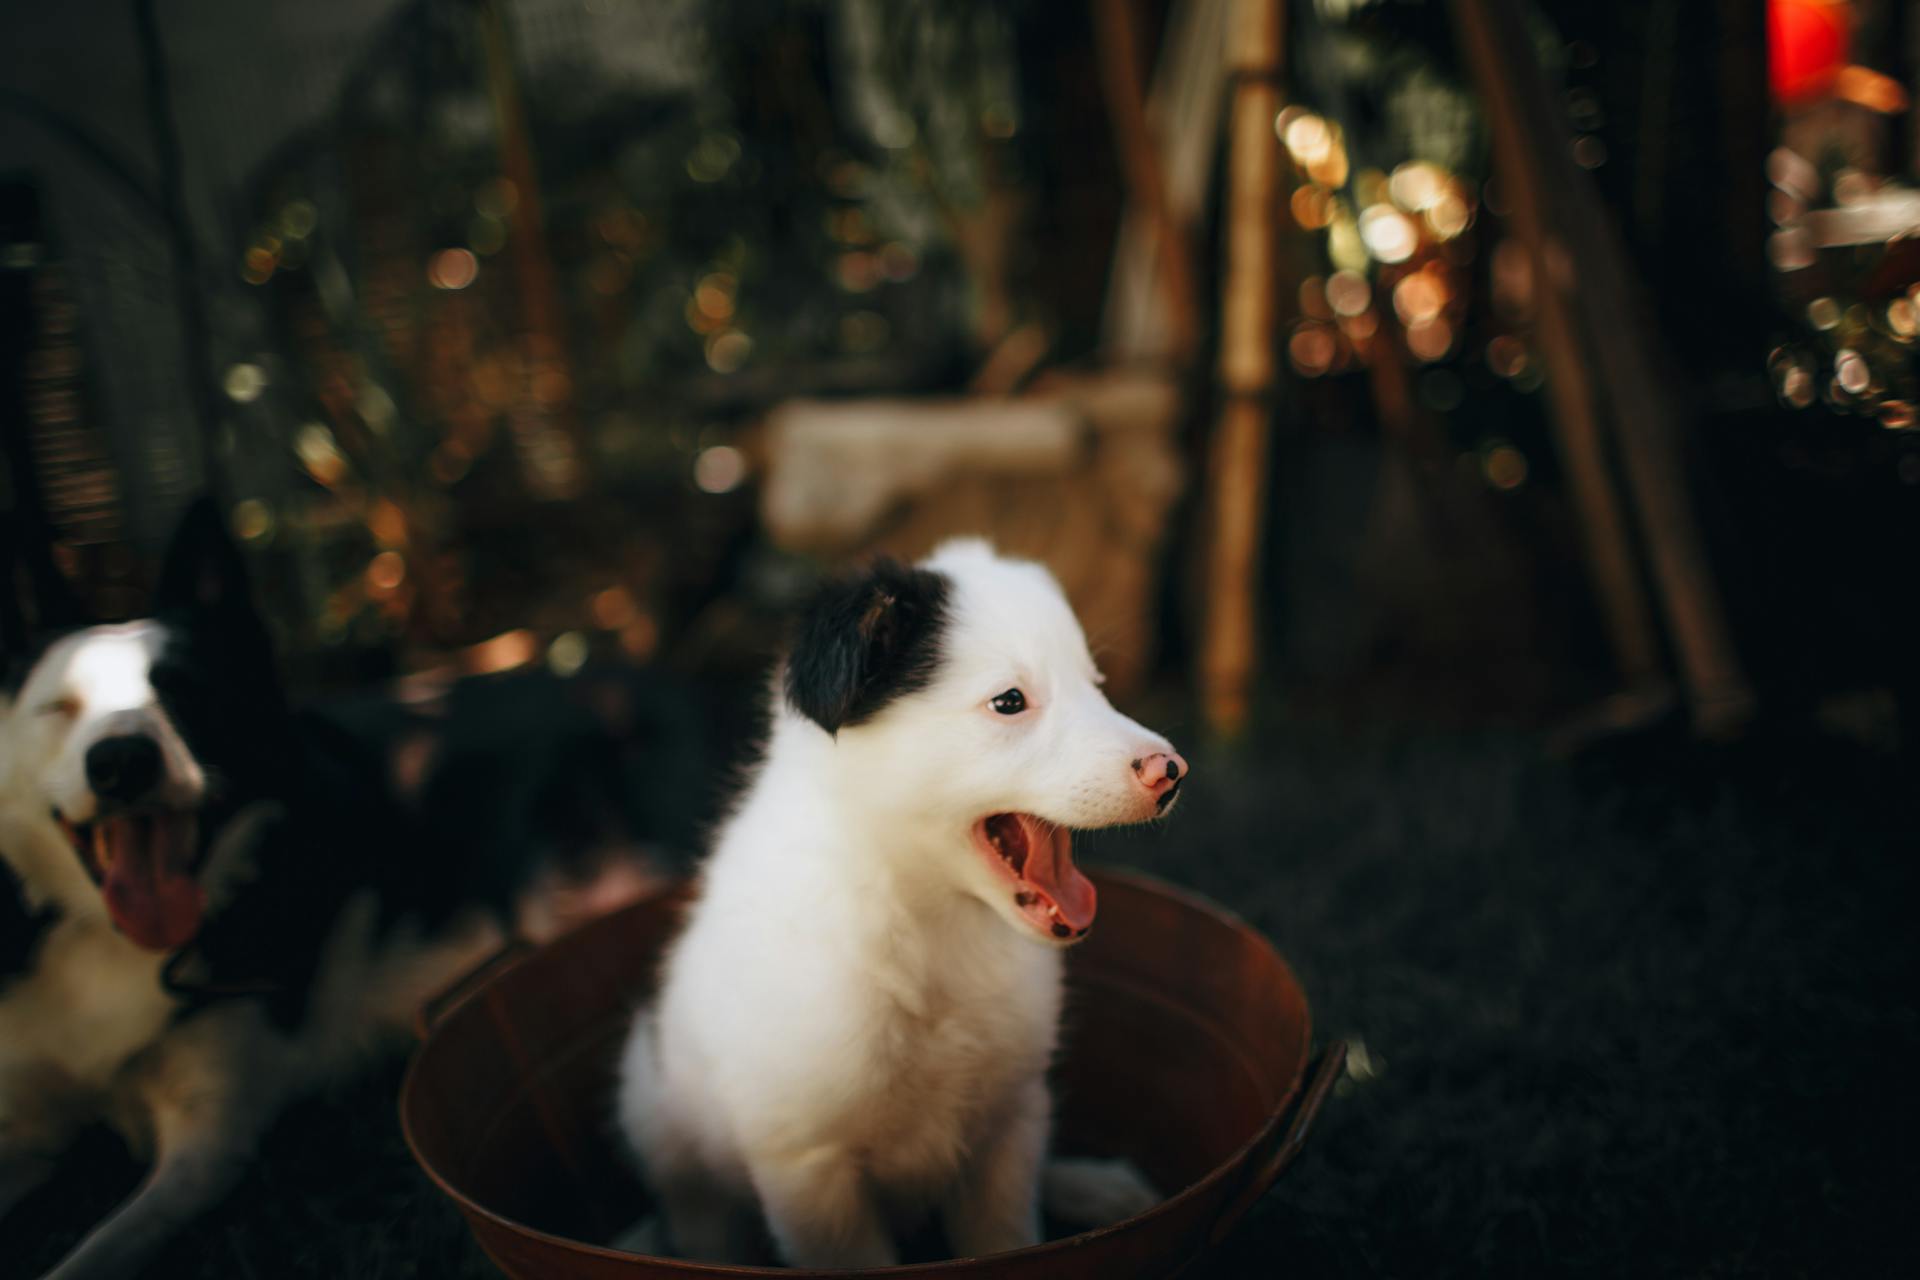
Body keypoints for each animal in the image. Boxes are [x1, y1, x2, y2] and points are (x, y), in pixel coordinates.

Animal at [0, 502, 652, 1280]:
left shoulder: (208, 1140)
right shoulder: (30, 1119)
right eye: (59, 708)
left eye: (185, 692)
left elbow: (90, 1254)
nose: (123, 762)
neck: (114, 950)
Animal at [614, 541, 1182, 1274]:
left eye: (1097, 681)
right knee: (697, 1218)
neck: (925, 920)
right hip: (653, 1109)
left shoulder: (1008, 1124)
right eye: (1009, 701)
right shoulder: (810, 1168)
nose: (1171, 771)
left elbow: (1009, 1236)